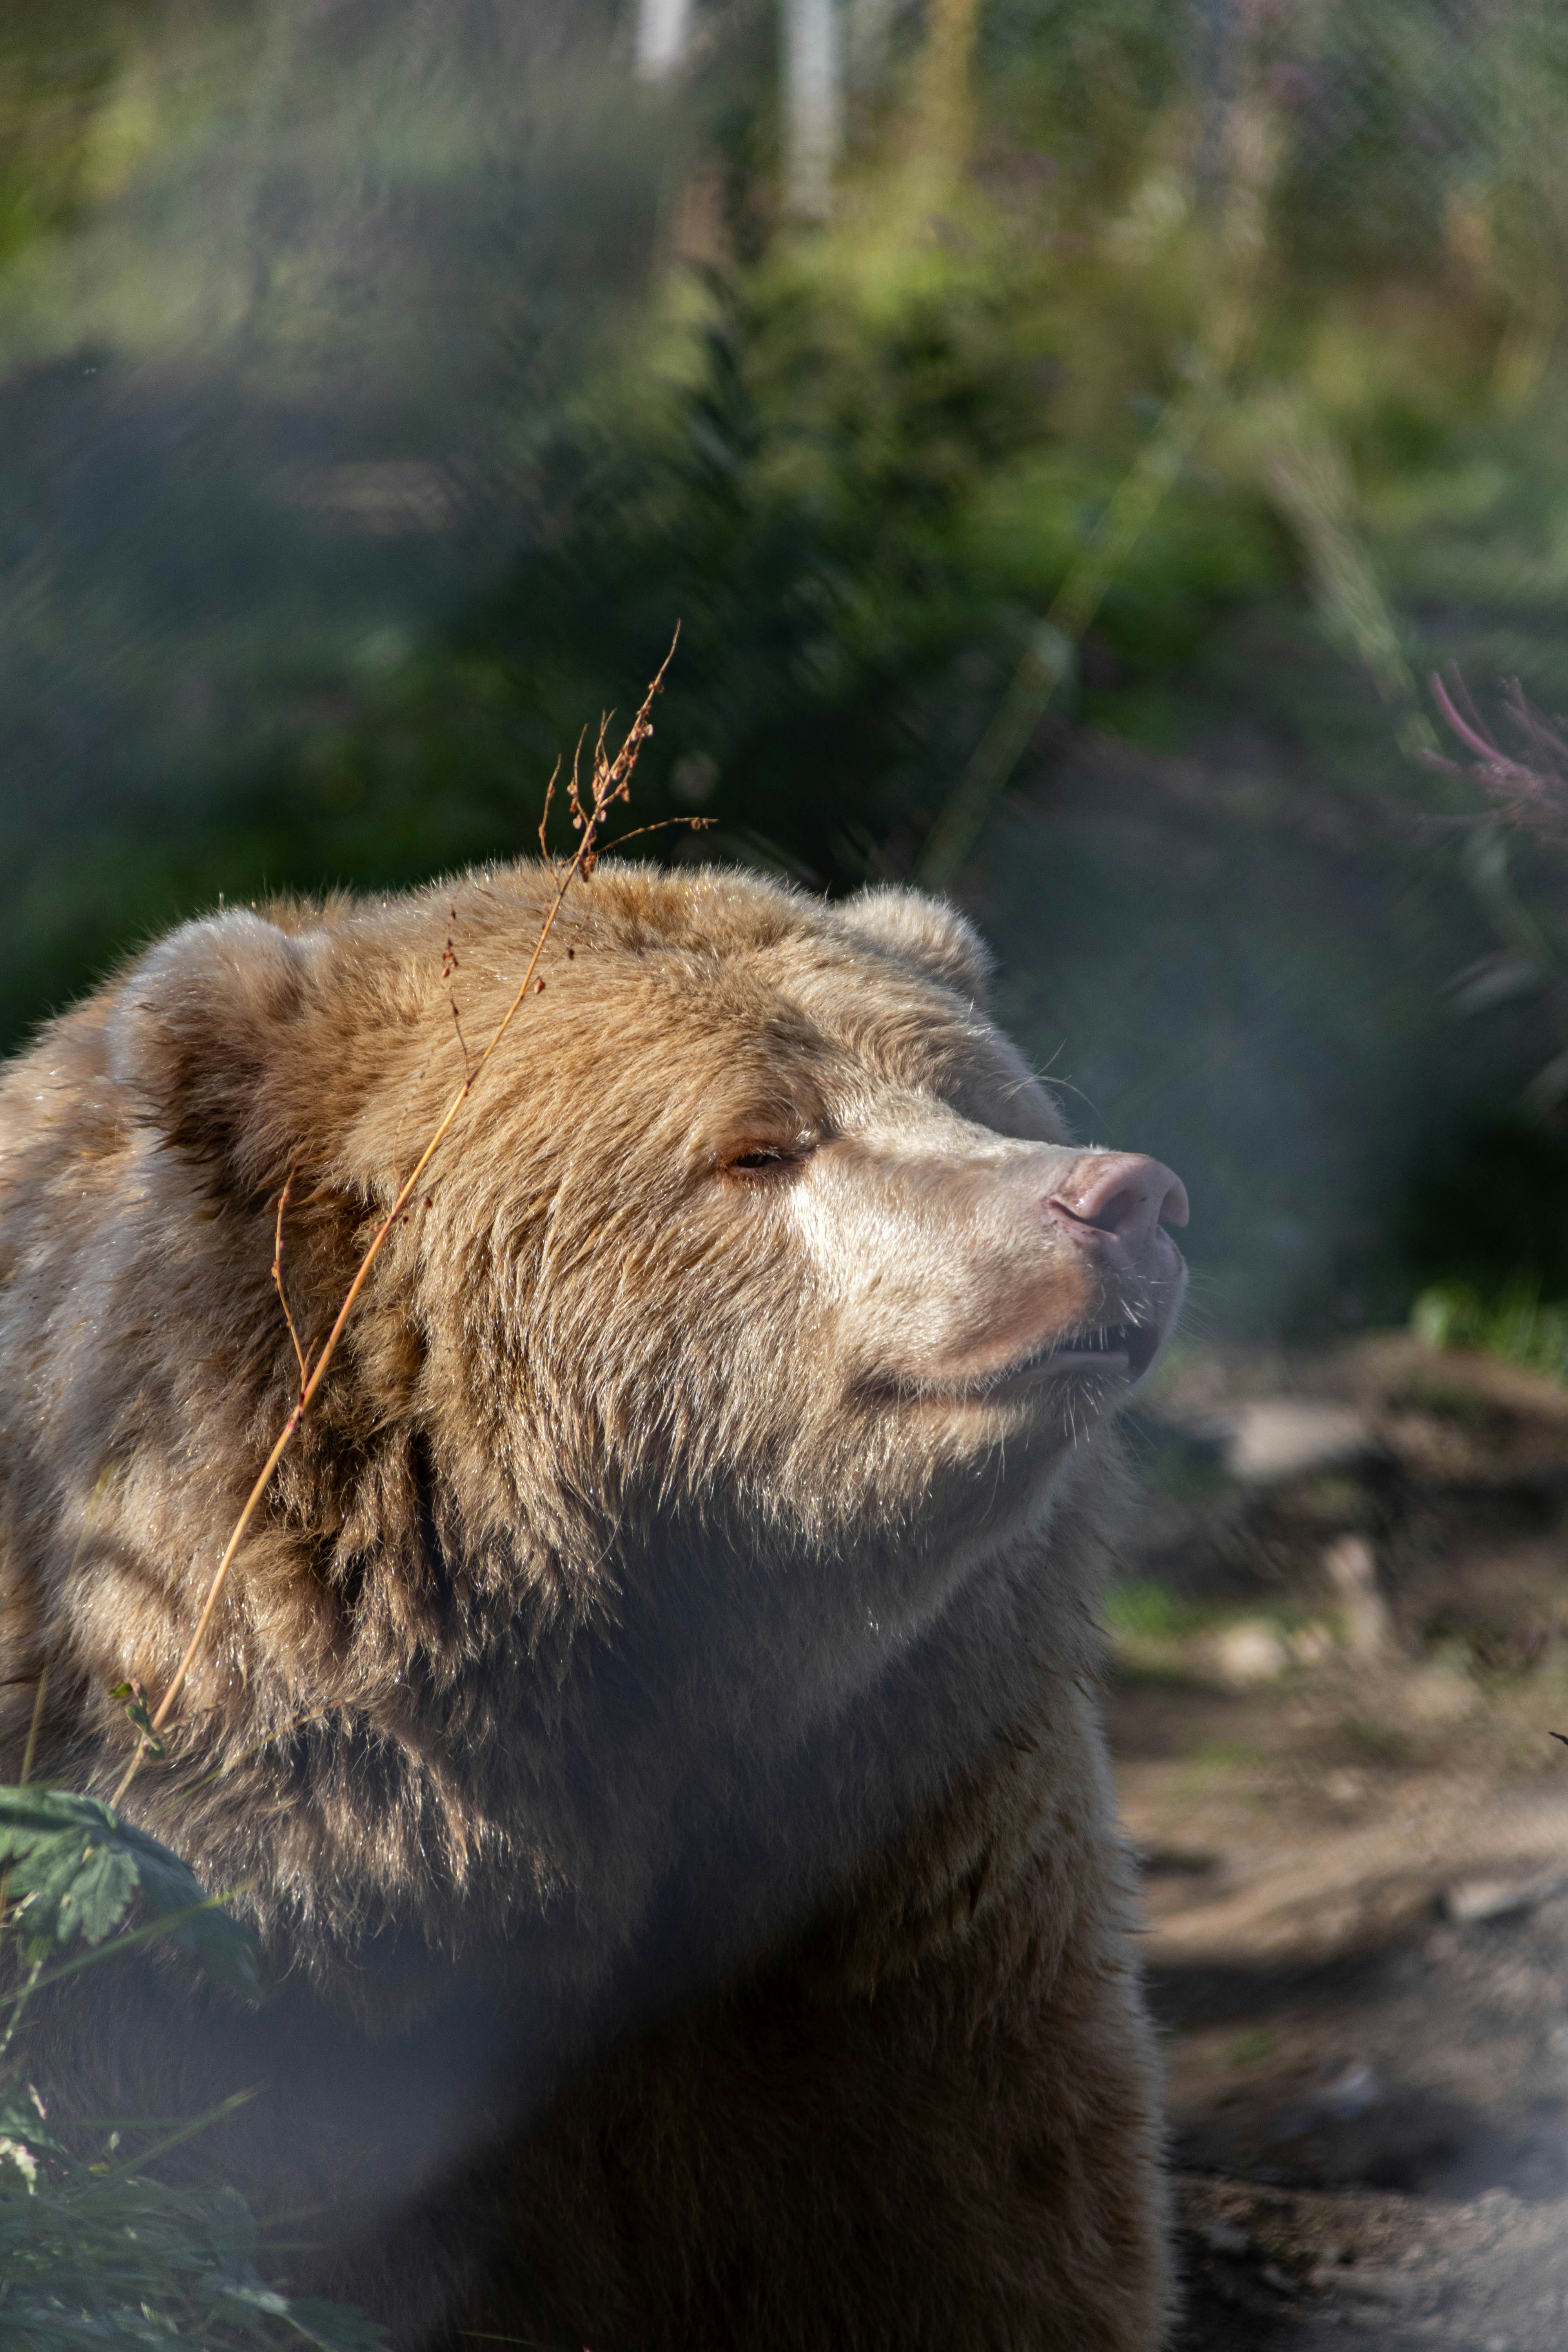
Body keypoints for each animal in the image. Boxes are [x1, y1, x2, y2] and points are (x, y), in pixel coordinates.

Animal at [0, 859, 1188, 2350]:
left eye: (980, 1095)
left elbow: (981, 2230)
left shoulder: (900, 1893)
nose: (1121, 1199)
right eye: (761, 1143)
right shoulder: (178, 1954)